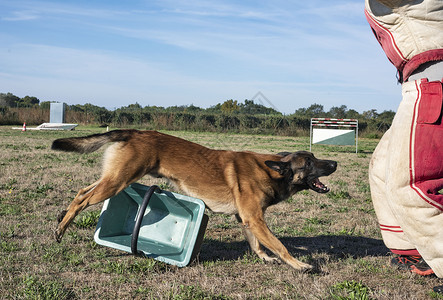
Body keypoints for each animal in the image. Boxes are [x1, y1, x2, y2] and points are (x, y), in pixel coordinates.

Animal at [52, 130, 336, 270]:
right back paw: (61, 229)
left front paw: (266, 259)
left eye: (315, 158)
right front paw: (300, 265)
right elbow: (279, 245)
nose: (334, 163)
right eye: (309, 162)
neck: (270, 170)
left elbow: (257, 244)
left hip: (112, 179)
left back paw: (61, 217)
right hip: (117, 181)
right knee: (82, 200)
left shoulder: (246, 219)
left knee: (81, 192)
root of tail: (134, 132)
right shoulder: (254, 218)